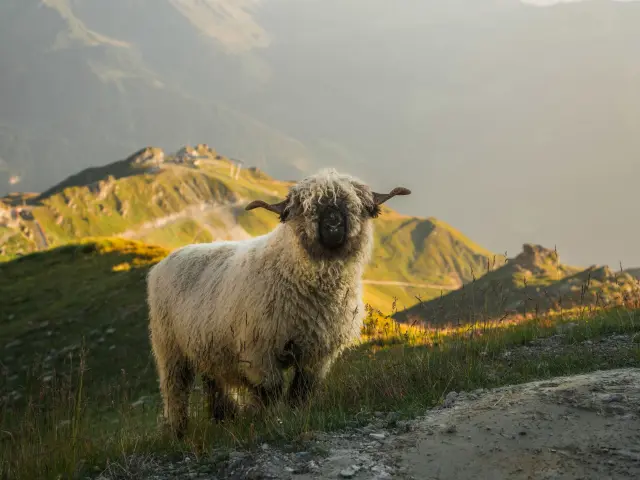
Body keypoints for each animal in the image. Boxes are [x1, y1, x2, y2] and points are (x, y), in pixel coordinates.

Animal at [146, 168, 411, 438]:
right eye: (306, 208)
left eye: (356, 205)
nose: (333, 225)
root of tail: (165, 261)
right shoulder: (259, 352)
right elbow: (271, 391)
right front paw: (270, 421)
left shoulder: (317, 354)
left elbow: (302, 391)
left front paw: (295, 416)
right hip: (170, 349)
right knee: (176, 392)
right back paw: (179, 433)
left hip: (209, 347)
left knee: (215, 384)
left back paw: (224, 420)